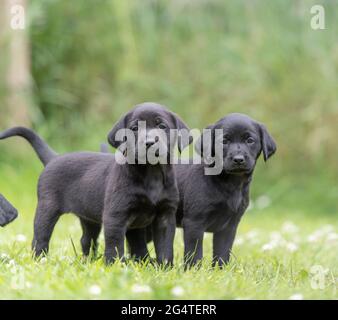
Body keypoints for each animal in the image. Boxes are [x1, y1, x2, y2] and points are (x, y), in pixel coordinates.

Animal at [0, 102, 190, 264]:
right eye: (135, 128)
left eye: (162, 126)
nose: (150, 143)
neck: (151, 173)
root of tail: (54, 158)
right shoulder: (115, 216)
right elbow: (115, 245)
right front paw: (114, 266)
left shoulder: (165, 215)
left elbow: (165, 248)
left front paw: (165, 268)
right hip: (47, 208)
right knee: (40, 238)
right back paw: (40, 260)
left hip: (88, 218)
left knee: (86, 240)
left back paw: (88, 261)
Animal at [176, 113, 276, 268]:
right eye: (223, 141)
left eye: (250, 140)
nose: (238, 159)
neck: (230, 184)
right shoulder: (194, 222)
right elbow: (194, 252)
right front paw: (193, 270)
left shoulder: (229, 226)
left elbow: (222, 252)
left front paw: (220, 270)